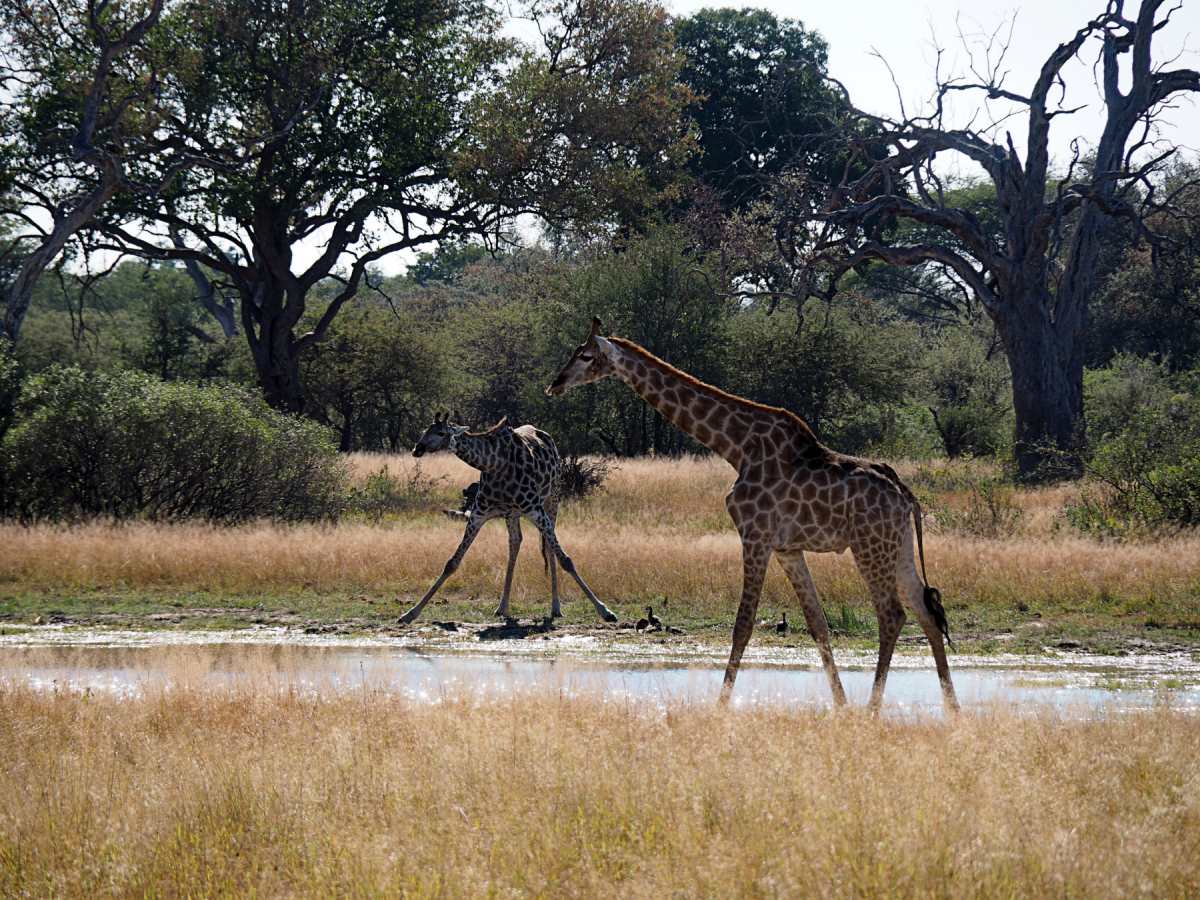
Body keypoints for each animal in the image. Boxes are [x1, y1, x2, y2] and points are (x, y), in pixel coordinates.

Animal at [399, 412, 619, 625]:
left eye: (441, 432)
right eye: (425, 430)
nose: (417, 449)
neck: (495, 465)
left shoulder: (535, 509)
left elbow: (566, 560)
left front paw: (605, 611)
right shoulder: (478, 514)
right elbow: (452, 562)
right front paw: (410, 613)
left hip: (552, 499)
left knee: (548, 546)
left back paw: (555, 608)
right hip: (512, 514)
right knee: (515, 542)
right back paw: (502, 607)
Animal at [546, 319, 958, 712]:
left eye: (585, 355)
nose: (554, 384)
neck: (736, 447)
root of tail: (905, 495)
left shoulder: (754, 536)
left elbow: (743, 625)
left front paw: (720, 706)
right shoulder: (788, 549)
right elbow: (818, 624)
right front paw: (840, 705)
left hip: (869, 546)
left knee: (892, 615)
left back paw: (873, 709)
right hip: (898, 547)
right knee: (927, 612)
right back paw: (951, 708)